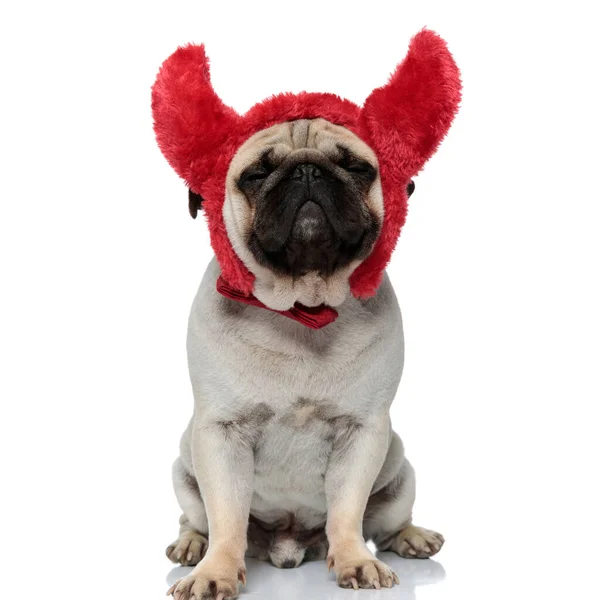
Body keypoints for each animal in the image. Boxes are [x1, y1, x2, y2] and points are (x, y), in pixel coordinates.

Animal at [154, 29, 460, 600]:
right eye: (256, 173)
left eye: (357, 167)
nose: (307, 170)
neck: (302, 306)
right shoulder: (219, 435)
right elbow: (226, 516)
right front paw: (215, 571)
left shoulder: (363, 434)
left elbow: (348, 510)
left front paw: (354, 561)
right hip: (184, 469)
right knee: (198, 517)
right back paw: (190, 546)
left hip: (399, 473)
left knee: (387, 520)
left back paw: (410, 538)